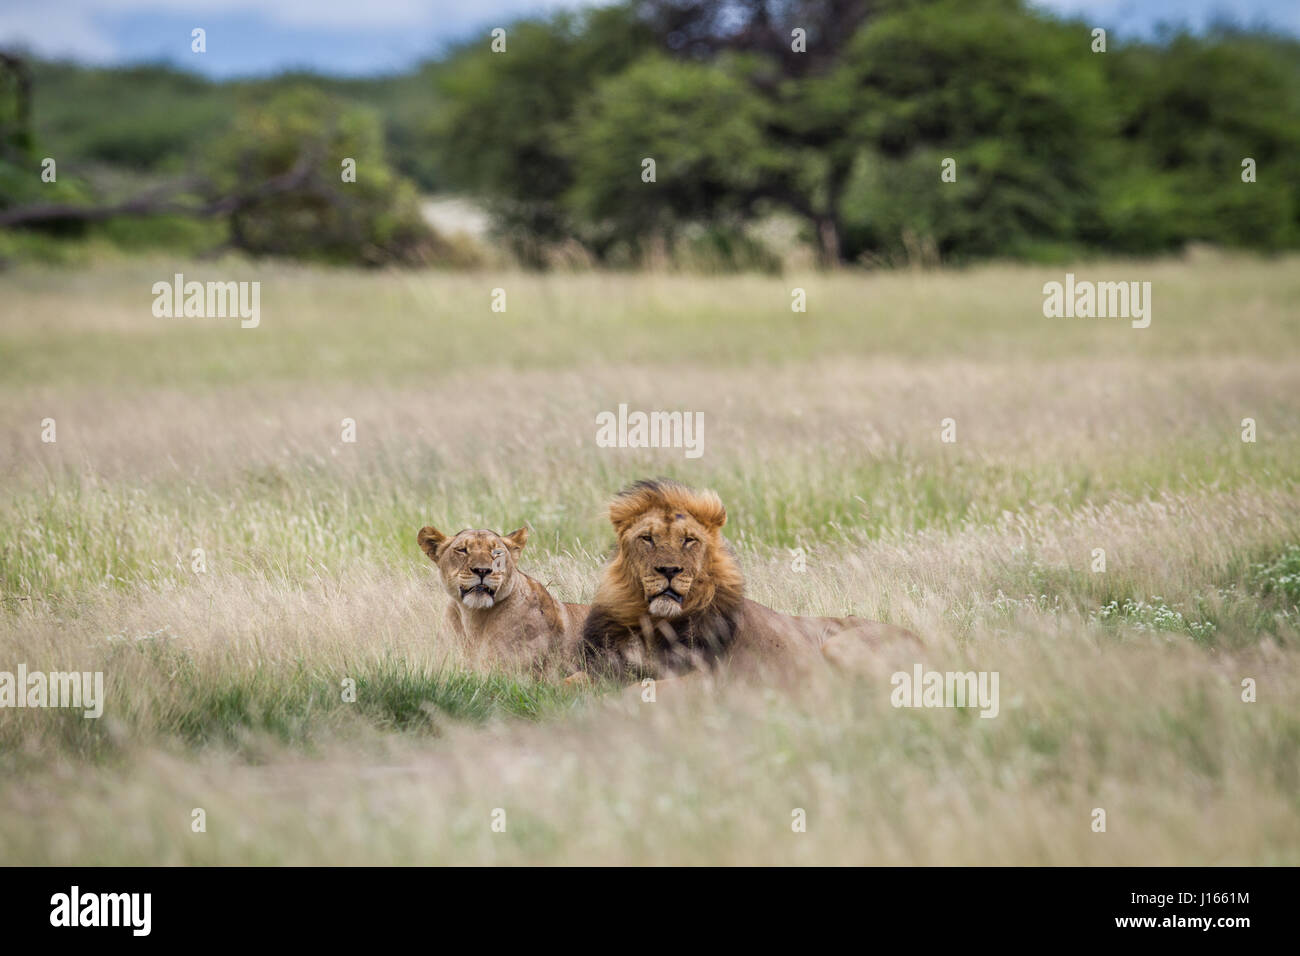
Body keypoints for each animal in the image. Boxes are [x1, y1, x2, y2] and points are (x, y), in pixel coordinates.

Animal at [575, 479, 917, 684]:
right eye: (647, 538)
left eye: (689, 540)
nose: (668, 570)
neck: (654, 621)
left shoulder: (698, 675)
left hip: (839, 645)